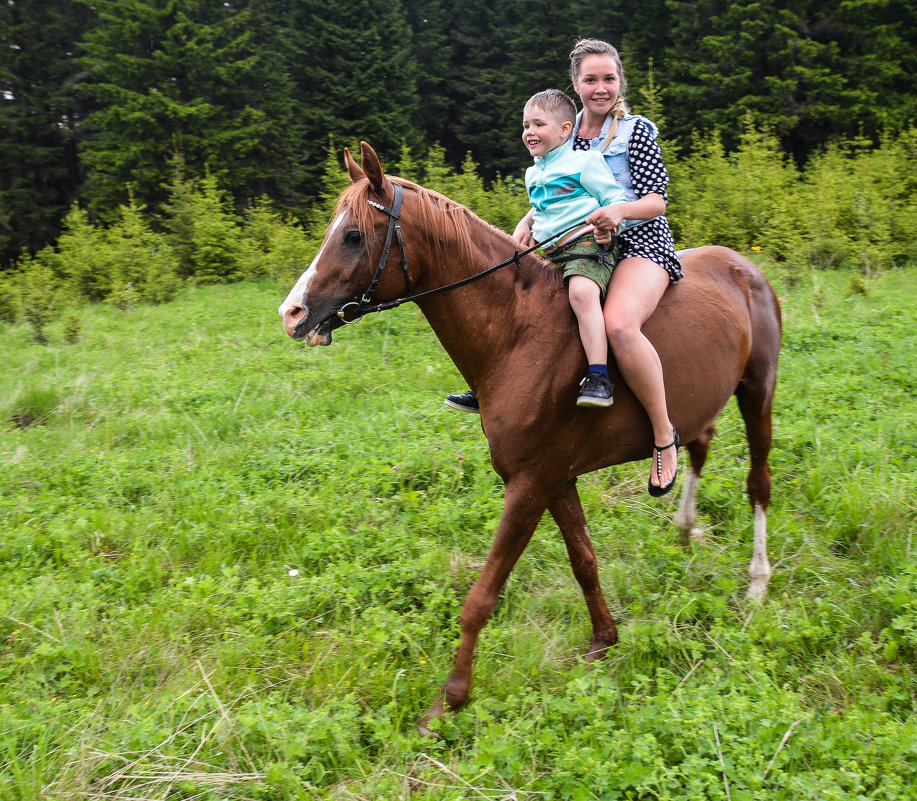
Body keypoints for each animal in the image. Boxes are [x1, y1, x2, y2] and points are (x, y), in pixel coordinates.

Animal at [280, 142, 780, 732]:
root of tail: (743, 266)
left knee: (758, 484)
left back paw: (756, 581)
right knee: (697, 444)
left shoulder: (529, 484)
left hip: (758, 394)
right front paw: (604, 641)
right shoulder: (557, 480)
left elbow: (482, 594)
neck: (520, 333)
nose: (292, 313)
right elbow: (584, 562)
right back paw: (684, 527)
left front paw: (449, 700)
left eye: (354, 235)